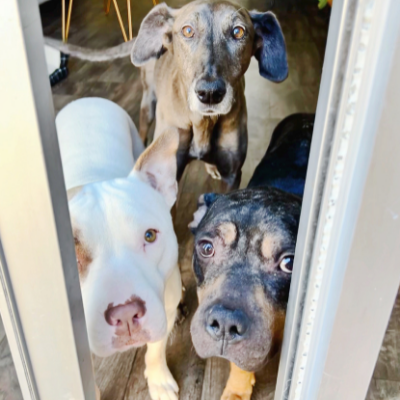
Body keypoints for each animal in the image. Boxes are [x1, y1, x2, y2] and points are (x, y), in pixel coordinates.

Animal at [56, 97, 181, 400]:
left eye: (149, 236)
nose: (125, 314)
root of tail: (86, 99)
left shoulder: (166, 307)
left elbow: (155, 350)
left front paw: (158, 380)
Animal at [131, 0, 288, 189]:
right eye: (188, 30)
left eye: (238, 31)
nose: (210, 93)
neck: (203, 122)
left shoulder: (233, 174)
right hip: (148, 102)